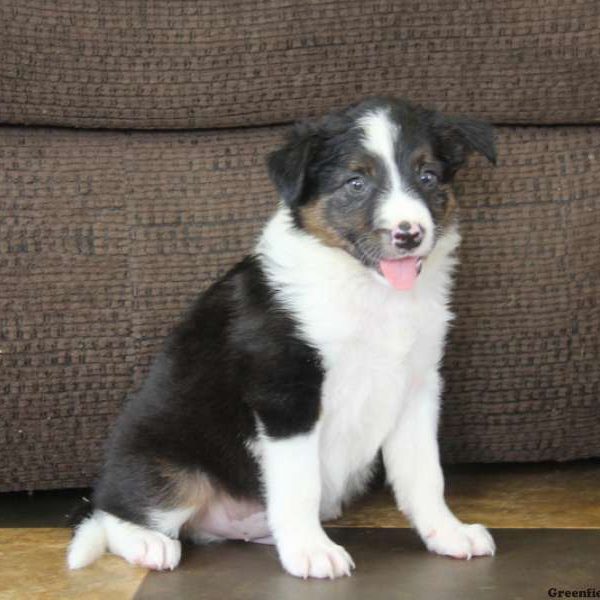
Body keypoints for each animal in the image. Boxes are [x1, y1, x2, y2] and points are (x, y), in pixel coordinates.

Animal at [67, 97, 496, 576]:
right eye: (355, 182)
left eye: (427, 176)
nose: (409, 235)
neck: (368, 290)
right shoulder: (286, 393)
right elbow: (299, 483)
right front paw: (311, 552)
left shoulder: (417, 386)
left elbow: (425, 474)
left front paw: (448, 533)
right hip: (171, 465)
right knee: (109, 514)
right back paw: (148, 544)